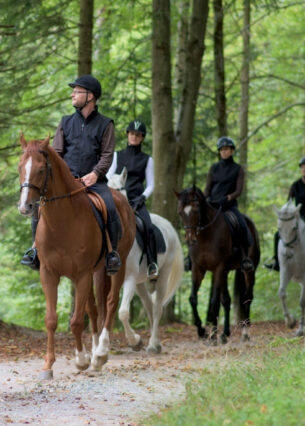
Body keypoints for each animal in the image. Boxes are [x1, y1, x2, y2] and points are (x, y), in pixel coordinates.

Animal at [17, 135, 134, 378]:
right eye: (20, 167)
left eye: (41, 170)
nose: (25, 207)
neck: (62, 221)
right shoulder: (49, 274)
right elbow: (52, 320)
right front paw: (48, 365)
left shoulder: (81, 275)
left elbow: (77, 321)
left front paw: (81, 360)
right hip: (95, 272)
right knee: (95, 307)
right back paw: (95, 351)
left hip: (117, 265)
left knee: (110, 302)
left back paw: (101, 353)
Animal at [107, 166, 183, 352]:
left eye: (120, 189)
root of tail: (169, 226)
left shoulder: (129, 278)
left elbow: (123, 313)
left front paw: (135, 341)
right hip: (139, 282)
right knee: (149, 304)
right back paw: (155, 342)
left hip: (162, 274)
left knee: (157, 308)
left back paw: (153, 345)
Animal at [175, 186, 260, 342]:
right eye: (180, 212)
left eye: (196, 209)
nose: (190, 240)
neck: (206, 234)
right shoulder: (198, 269)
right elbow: (193, 299)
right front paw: (202, 331)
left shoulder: (218, 268)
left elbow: (214, 302)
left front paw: (215, 335)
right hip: (225, 272)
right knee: (226, 299)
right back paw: (223, 332)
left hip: (249, 271)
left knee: (247, 297)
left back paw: (245, 332)